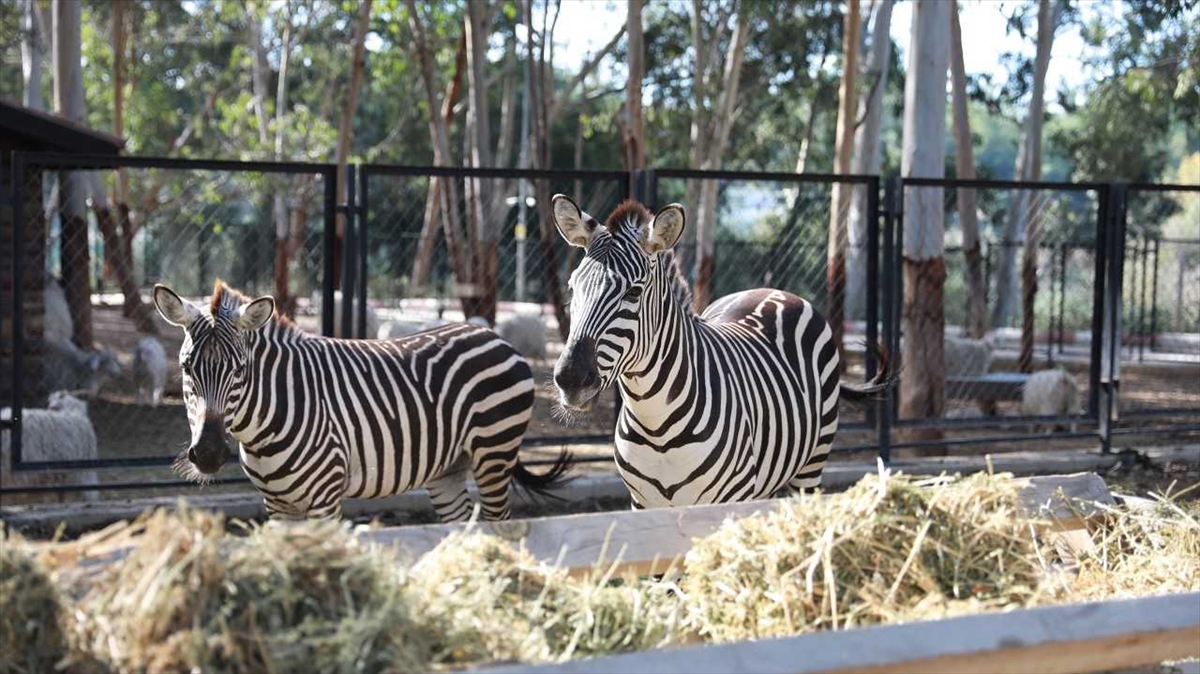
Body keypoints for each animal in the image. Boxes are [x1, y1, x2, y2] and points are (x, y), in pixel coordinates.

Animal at [152, 278, 568, 520]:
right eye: (187, 367)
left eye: (240, 369)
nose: (208, 454)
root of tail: (495, 337)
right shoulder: (276, 503)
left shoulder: (324, 498)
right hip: (447, 469)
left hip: (494, 453)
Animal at [549, 191, 897, 506]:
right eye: (572, 288)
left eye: (634, 293)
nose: (570, 379)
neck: (655, 425)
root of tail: (775, 291)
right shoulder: (641, 503)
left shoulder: (729, 497)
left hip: (812, 464)